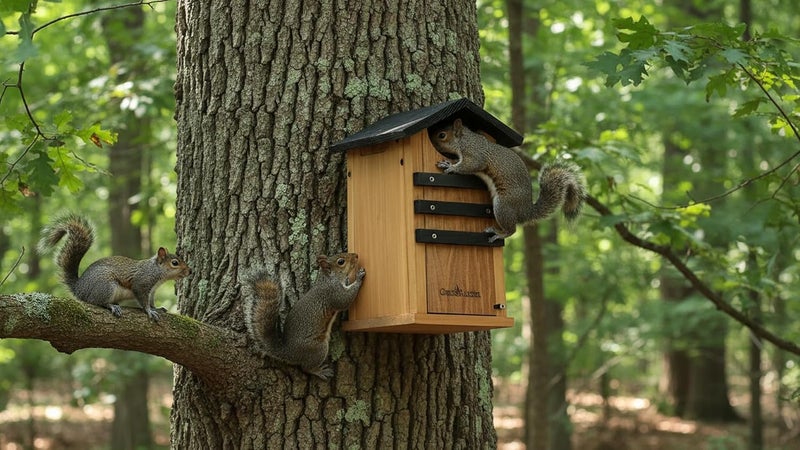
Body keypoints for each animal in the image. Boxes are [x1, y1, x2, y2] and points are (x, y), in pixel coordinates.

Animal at [38, 213, 190, 321]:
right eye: (175, 263)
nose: (189, 271)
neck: (156, 272)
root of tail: (79, 288)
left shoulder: (152, 291)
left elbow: (151, 301)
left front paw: (156, 308)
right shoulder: (141, 283)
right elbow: (142, 300)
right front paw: (149, 311)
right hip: (105, 286)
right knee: (96, 301)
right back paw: (112, 306)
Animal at [430, 118, 587, 242]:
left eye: (442, 135)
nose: (431, 141)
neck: (464, 140)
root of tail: (525, 212)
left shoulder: (475, 154)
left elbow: (471, 165)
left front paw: (450, 166)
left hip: (503, 205)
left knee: (512, 230)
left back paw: (499, 233)